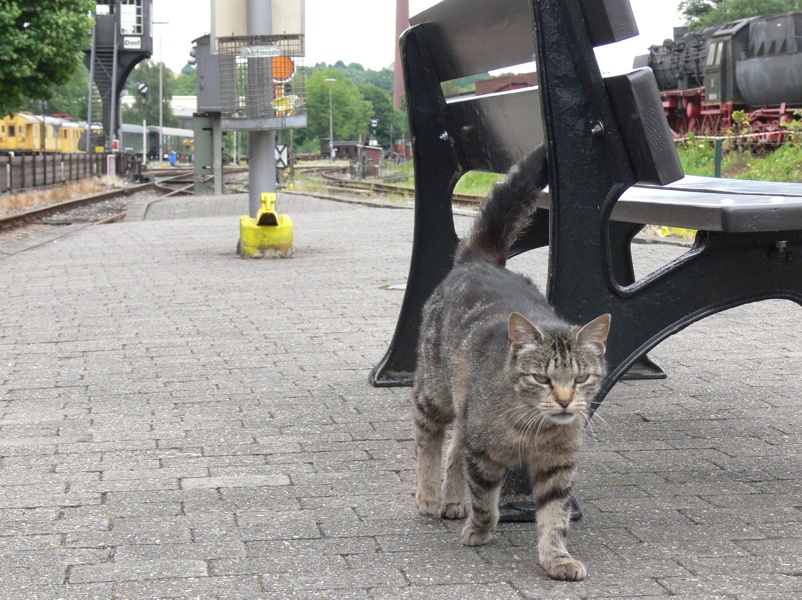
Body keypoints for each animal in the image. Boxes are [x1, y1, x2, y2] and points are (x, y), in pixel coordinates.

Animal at [412, 145, 608, 580]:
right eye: (542, 378)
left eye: (581, 377)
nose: (566, 401)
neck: (534, 426)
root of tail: (478, 260)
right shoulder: (484, 452)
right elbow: (485, 499)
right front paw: (480, 530)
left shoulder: (557, 465)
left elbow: (554, 516)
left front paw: (556, 558)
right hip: (435, 391)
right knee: (429, 437)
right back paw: (429, 495)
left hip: (463, 405)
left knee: (453, 447)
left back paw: (452, 499)